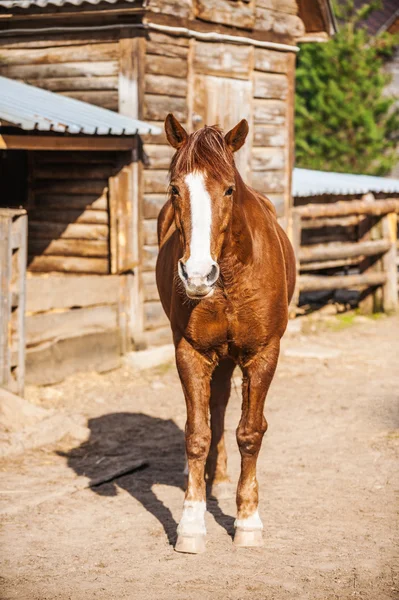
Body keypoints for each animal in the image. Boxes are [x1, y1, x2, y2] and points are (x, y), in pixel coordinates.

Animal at [156, 113, 296, 552]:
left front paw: (248, 521)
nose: (198, 275)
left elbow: (250, 433)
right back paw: (212, 481)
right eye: (174, 188)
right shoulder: (191, 352)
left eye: (229, 188)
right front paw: (191, 524)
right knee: (215, 412)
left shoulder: (263, 353)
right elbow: (197, 434)